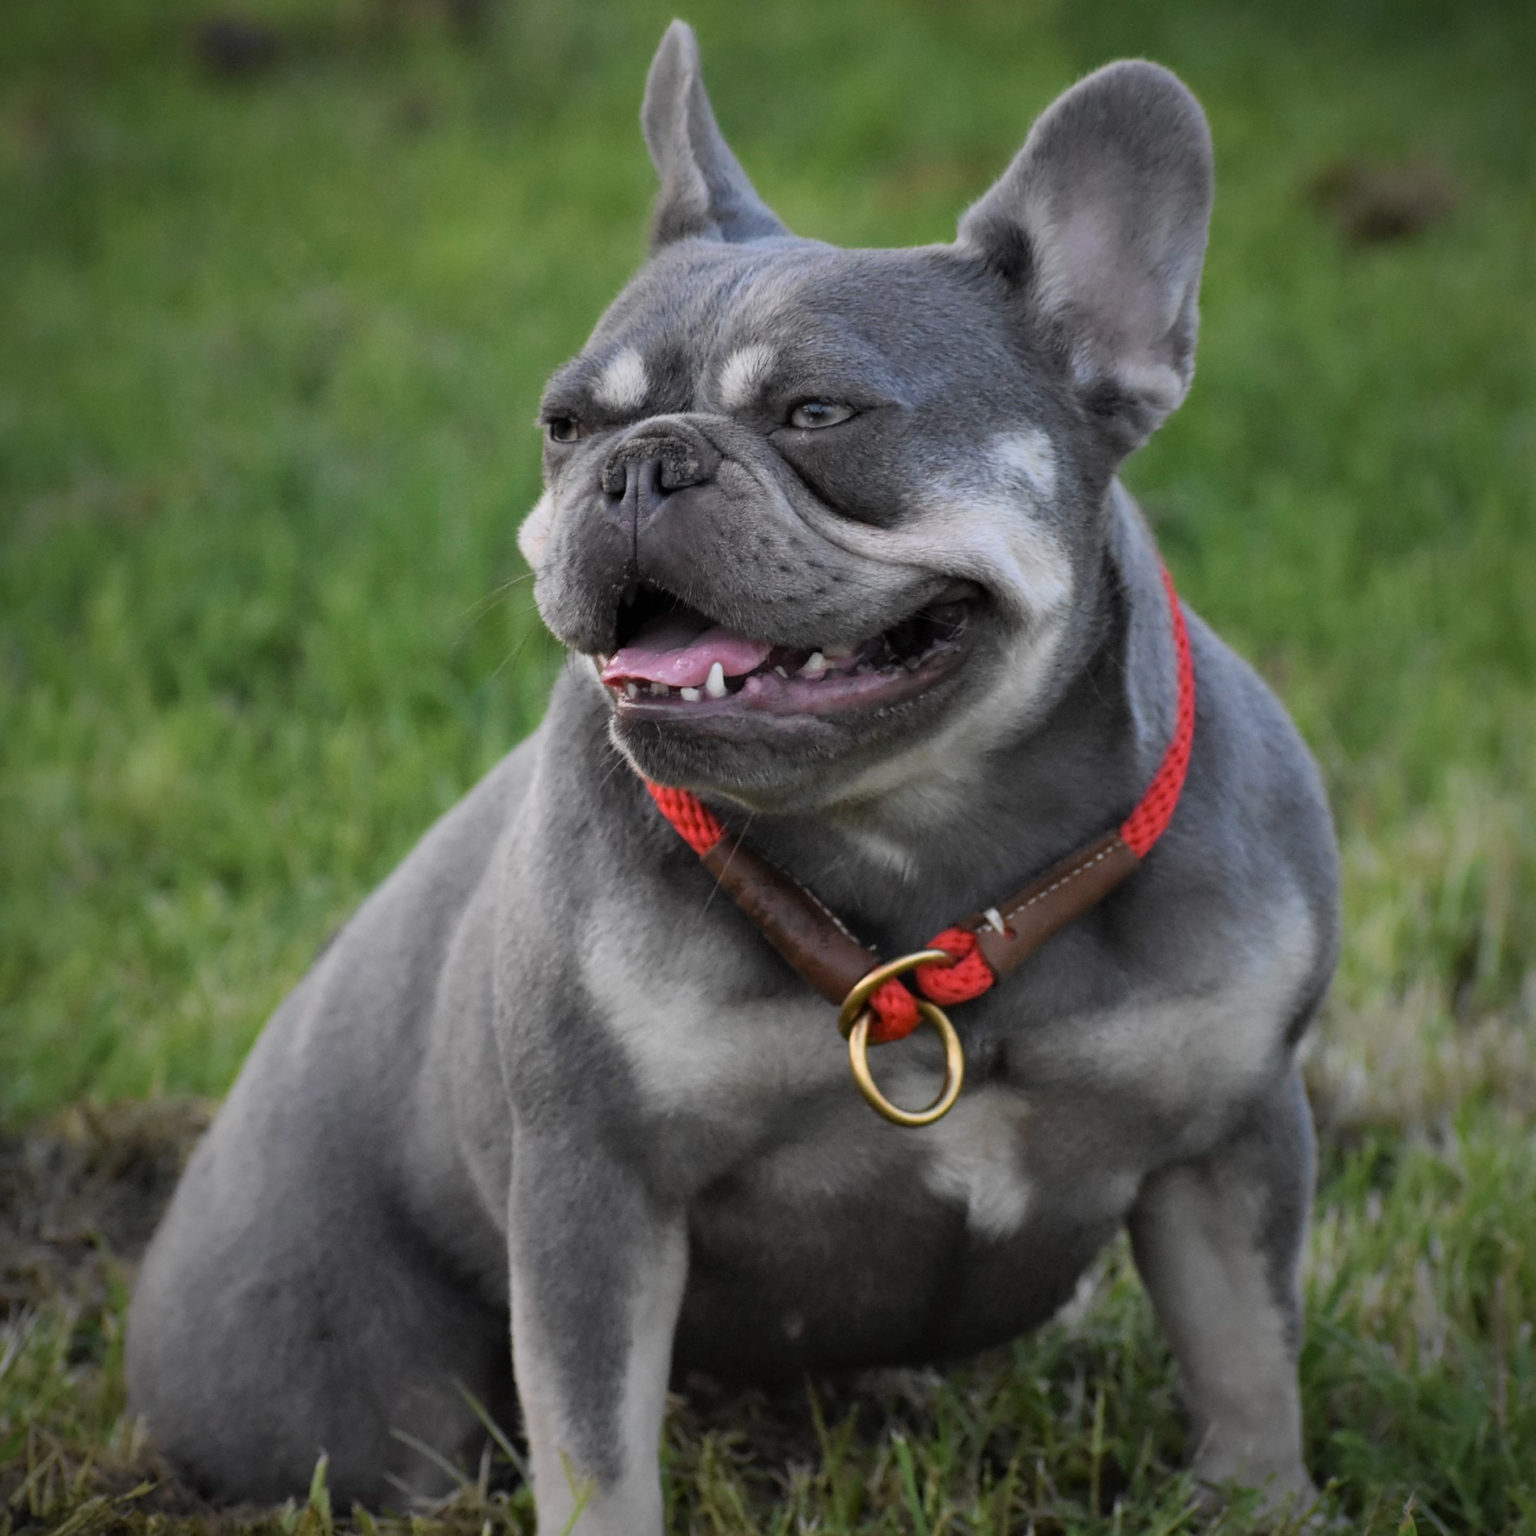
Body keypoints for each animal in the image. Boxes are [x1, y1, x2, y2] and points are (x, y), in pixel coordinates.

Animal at [129, 21, 1333, 1523]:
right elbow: (596, 1450)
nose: (641, 464)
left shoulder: (1233, 1139)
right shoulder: (595, 1194)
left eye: (818, 412)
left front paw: (1267, 1502)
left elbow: (1246, 1363)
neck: (926, 851)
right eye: (564, 424)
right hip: (356, 1397)